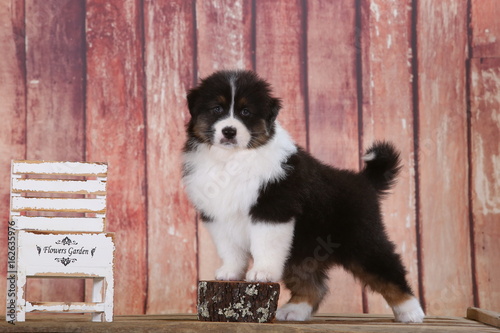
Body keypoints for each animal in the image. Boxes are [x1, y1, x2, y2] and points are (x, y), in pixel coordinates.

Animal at [182, 69, 424, 322]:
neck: (232, 159)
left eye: (246, 112)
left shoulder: (273, 209)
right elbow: (229, 247)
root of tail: (363, 180)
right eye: (217, 109)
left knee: (389, 269)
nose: (229, 131)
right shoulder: (218, 214)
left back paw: (411, 312)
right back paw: (294, 310)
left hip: (362, 239)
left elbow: (265, 243)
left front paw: (262, 272)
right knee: (313, 284)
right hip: (304, 248)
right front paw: (229, 272)